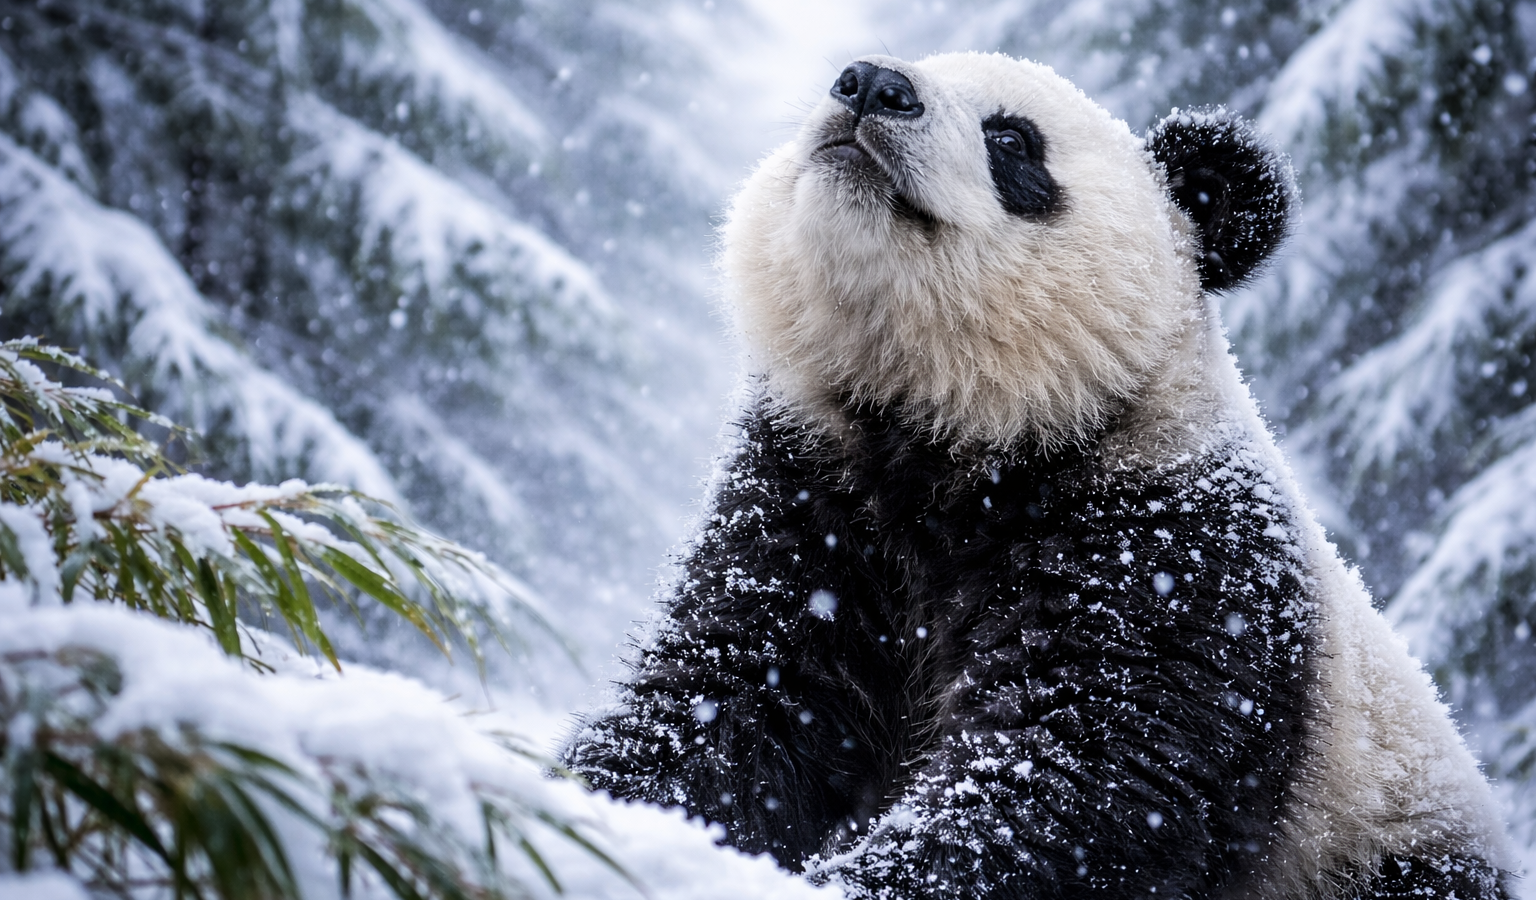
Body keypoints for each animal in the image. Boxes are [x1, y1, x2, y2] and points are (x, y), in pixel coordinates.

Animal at [563, 52, 1514, 900]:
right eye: (854, 75)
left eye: (1013, 139)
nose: (870, 84)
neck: (962, 433)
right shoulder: (813, 492)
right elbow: (730, 697)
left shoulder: (1173, 553)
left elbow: (1077, 778)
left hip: (1387, 847)